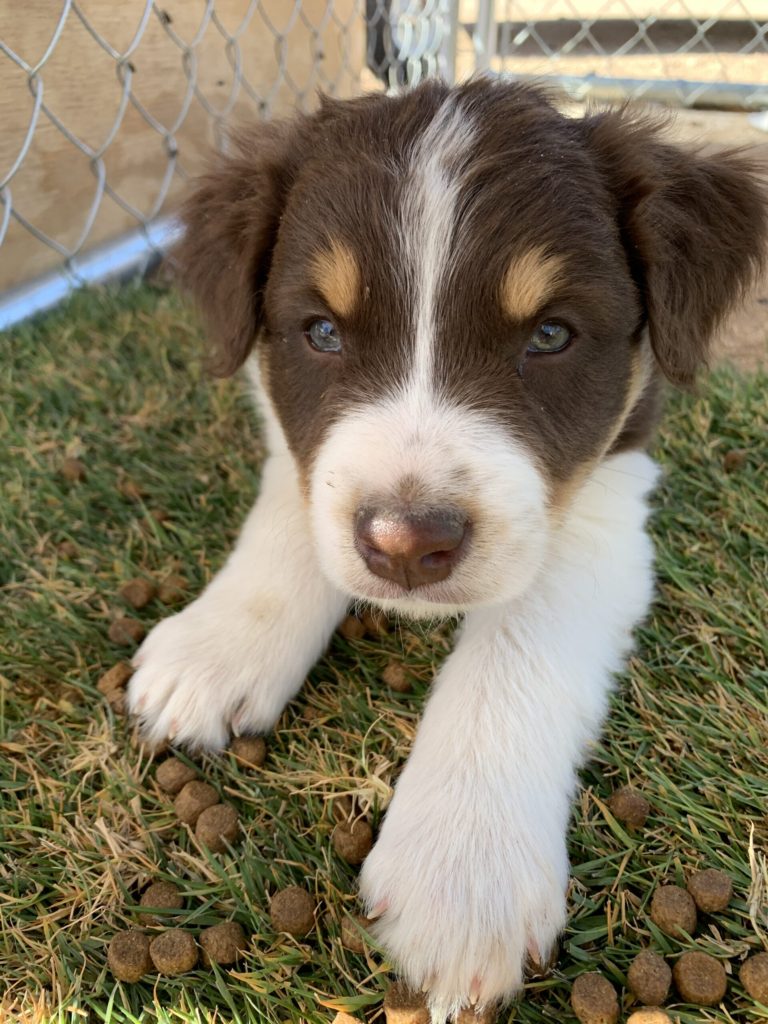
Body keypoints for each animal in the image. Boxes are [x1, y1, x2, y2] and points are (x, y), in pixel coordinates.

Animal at [128, 77, 768, 1015]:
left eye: (549, 336)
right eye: (321, 331)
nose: (404, 544)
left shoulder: (607, 493)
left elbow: (516, 651)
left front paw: (464, 877)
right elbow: (296, 497)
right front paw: (216, 650)